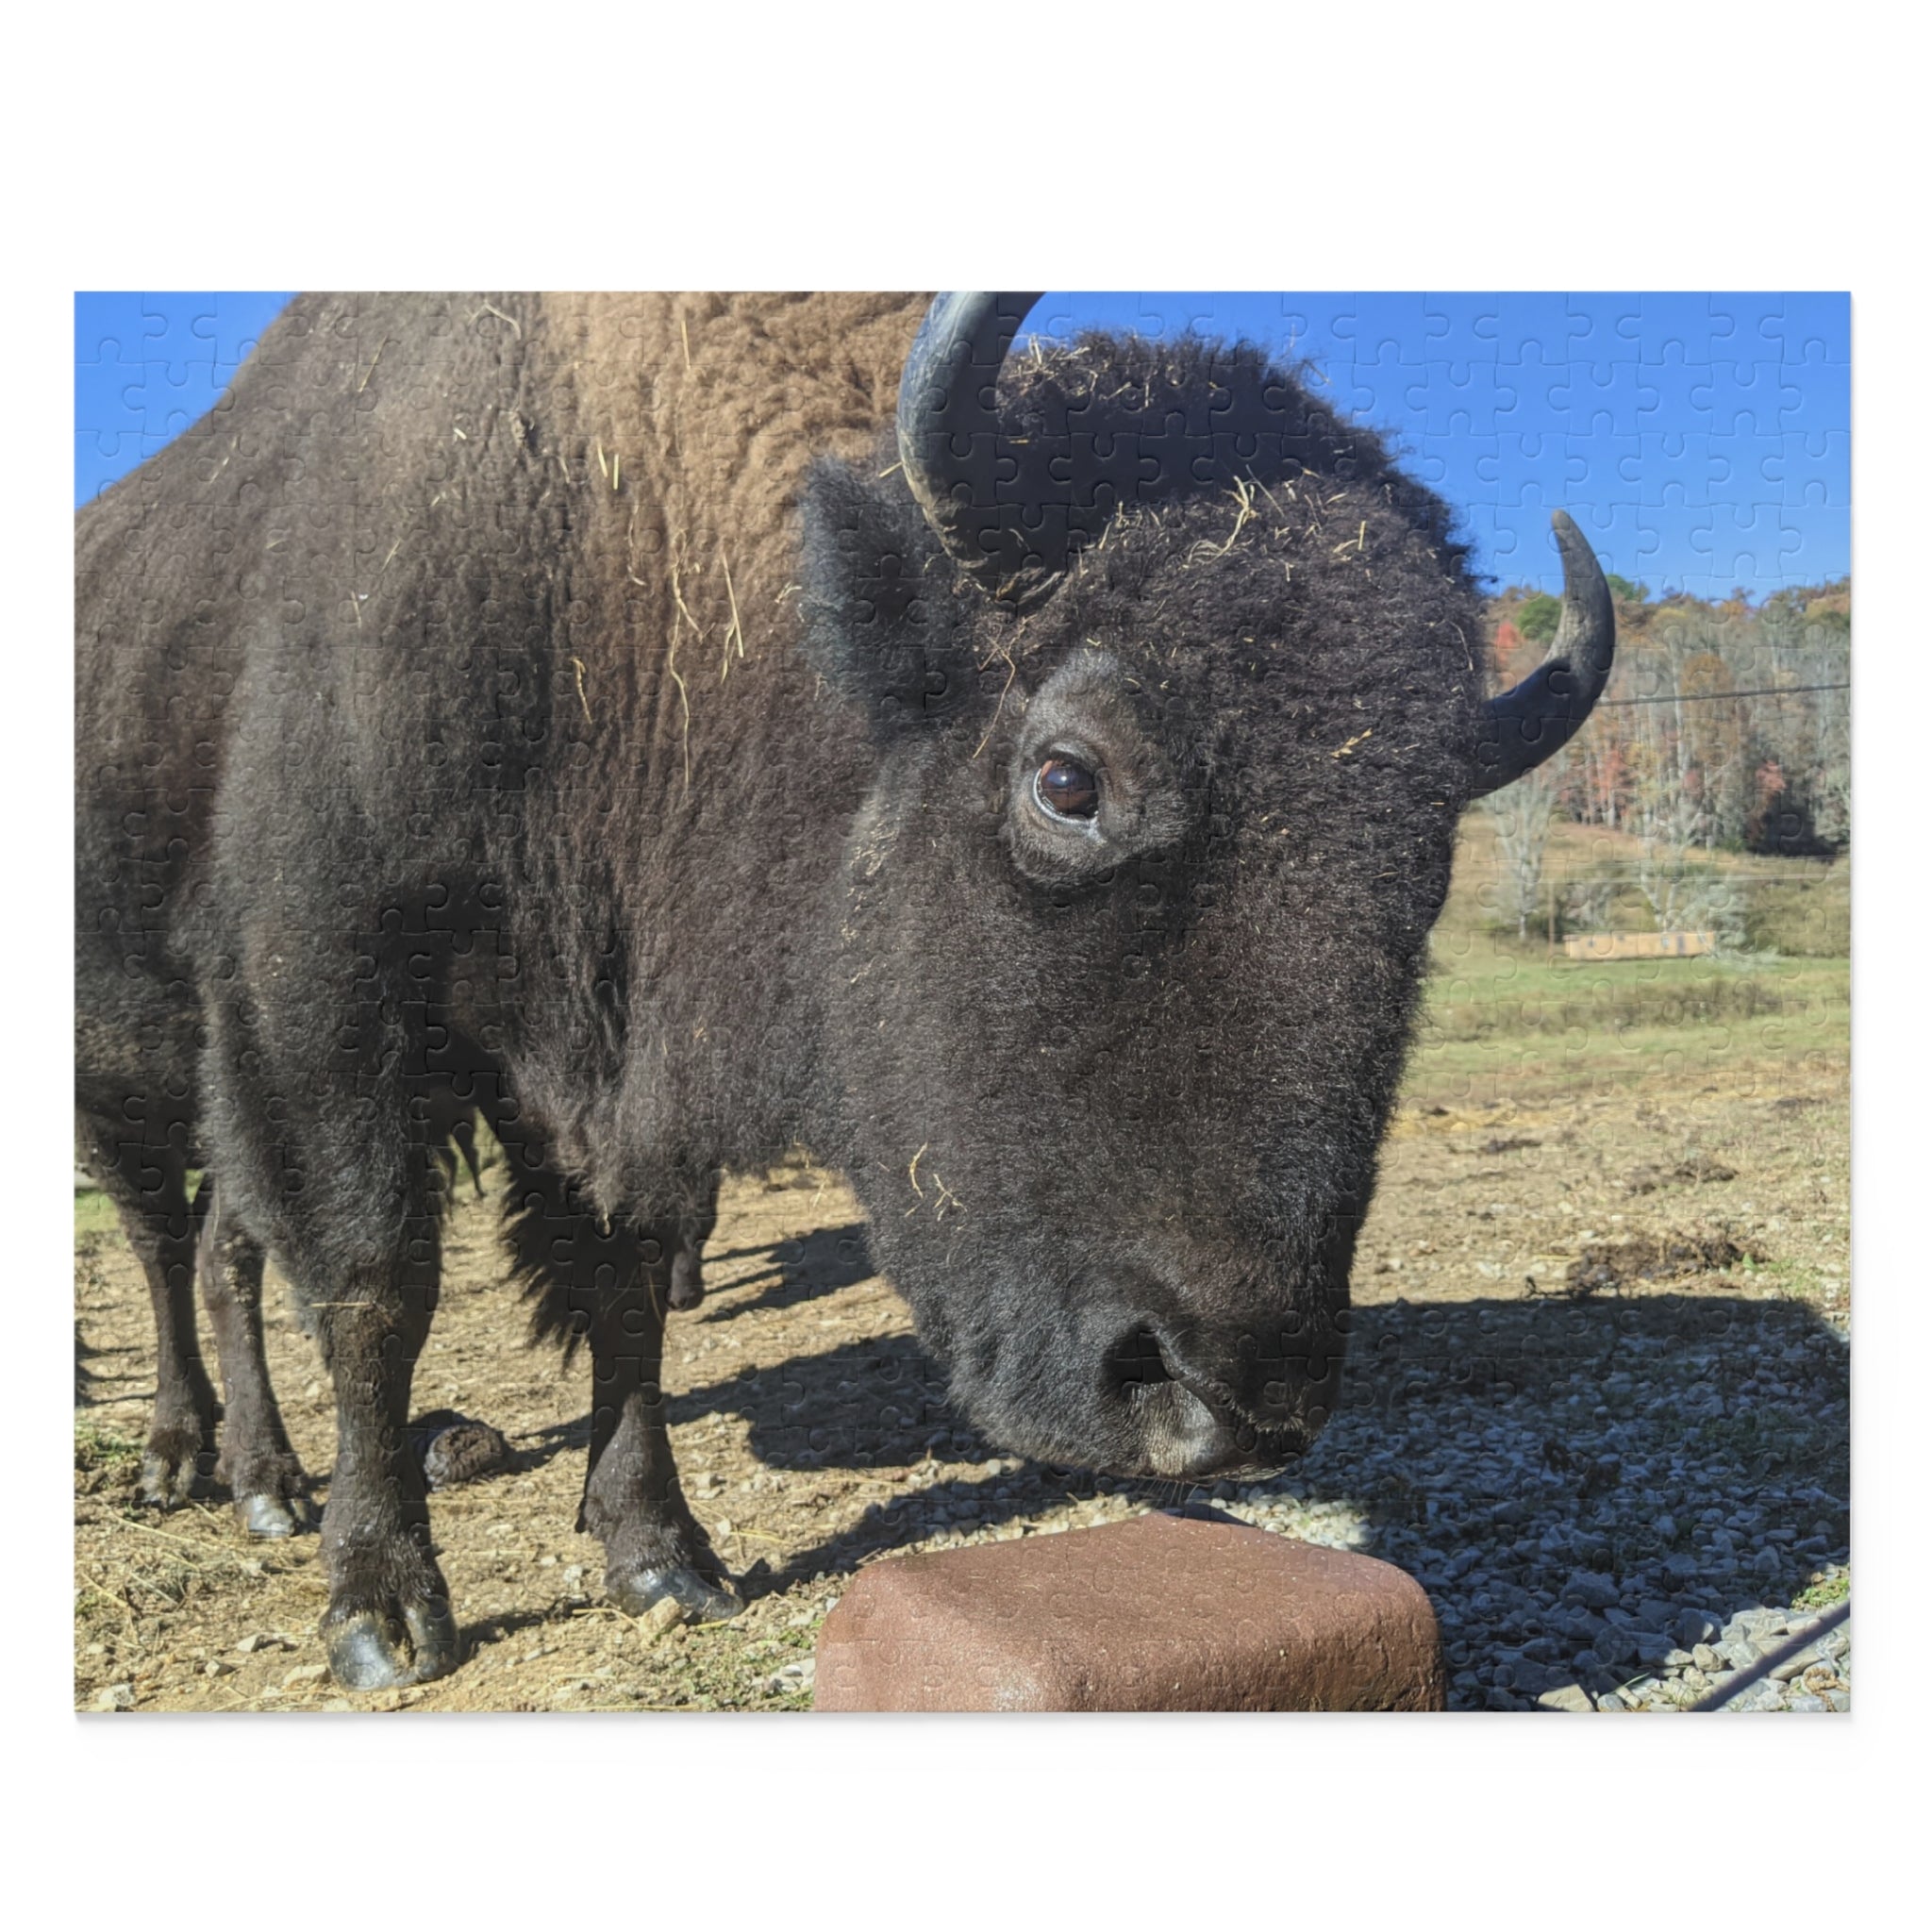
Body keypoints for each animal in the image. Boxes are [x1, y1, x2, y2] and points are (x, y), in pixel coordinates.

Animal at [74, 292, 1612, 1688]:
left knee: (215, 1251)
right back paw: (219, 1471)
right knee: (180, 1251)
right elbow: (375, 1291)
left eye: (1430, 849)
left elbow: (622, 1300)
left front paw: (665, 1558)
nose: (1233, 1401)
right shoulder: (318, 1011)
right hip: (130, 1078)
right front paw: (384, 1617)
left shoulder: (617, 1090)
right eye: (1067, 778)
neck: (622, 565)